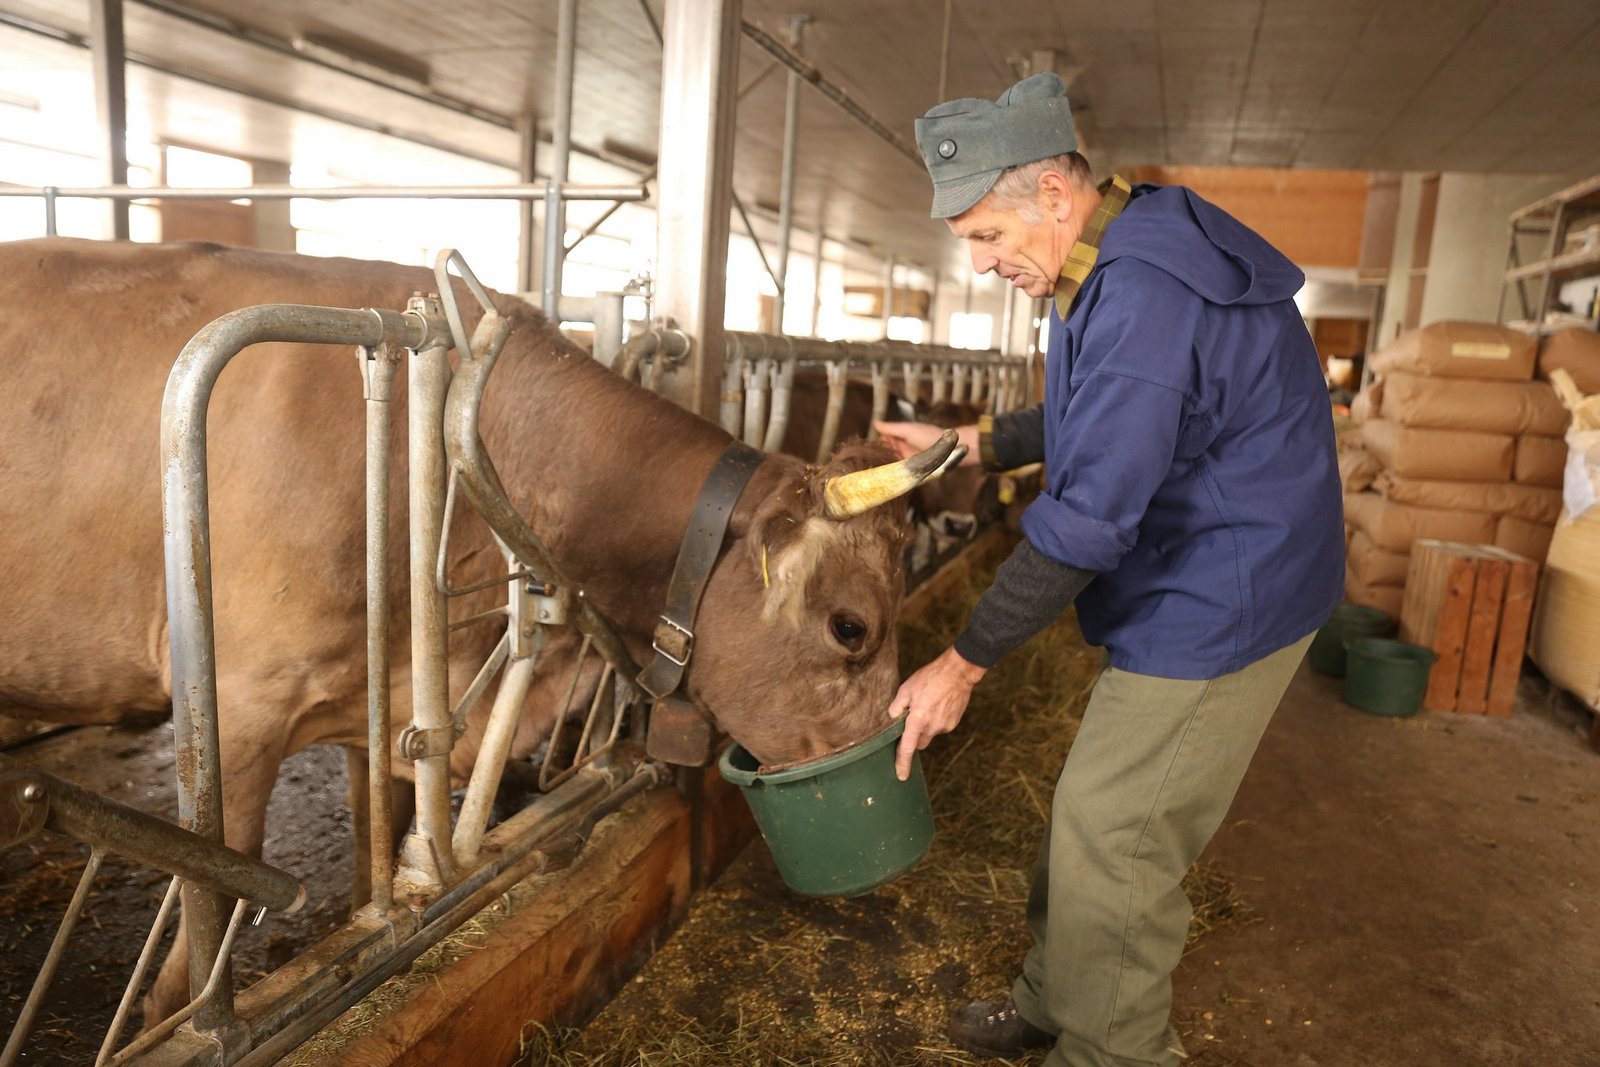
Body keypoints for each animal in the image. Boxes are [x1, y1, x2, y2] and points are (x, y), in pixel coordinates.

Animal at [0, 237, 956, 1026]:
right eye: (851, 627)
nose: (899, 757)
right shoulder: (235, 706)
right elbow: (205, 923)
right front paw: (182, 1018)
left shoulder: (381, 707)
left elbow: (375, 860)